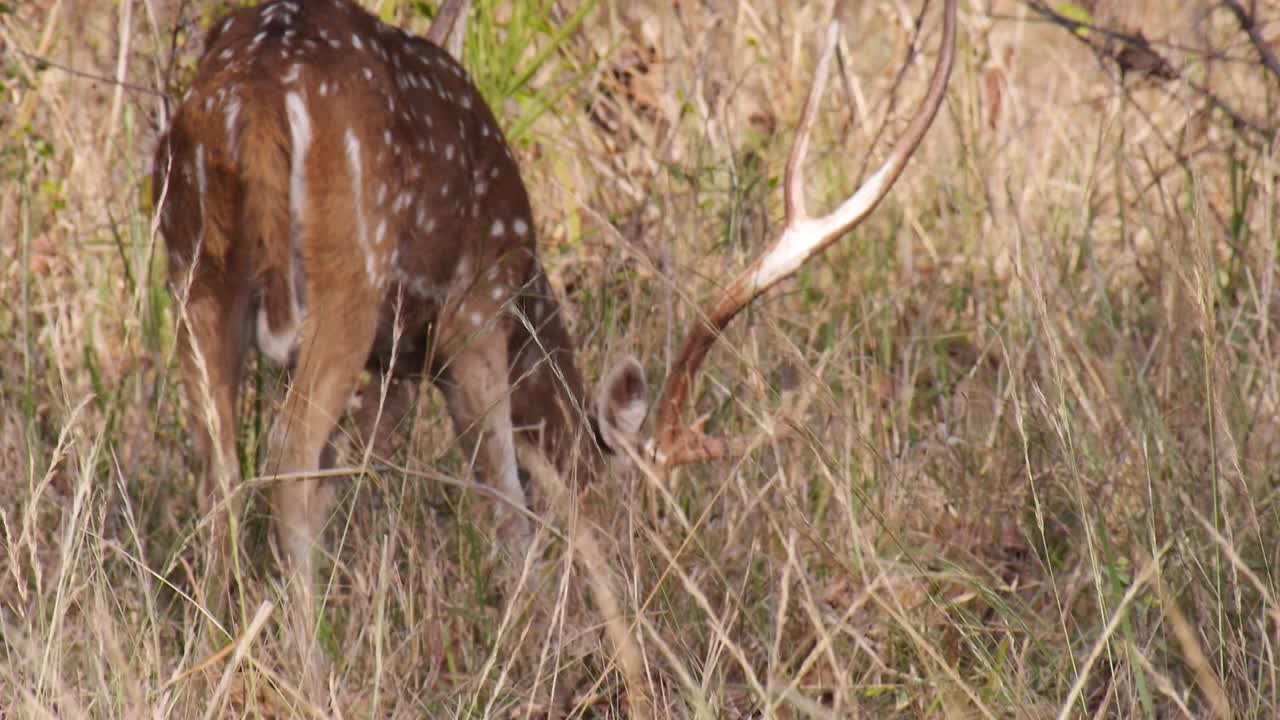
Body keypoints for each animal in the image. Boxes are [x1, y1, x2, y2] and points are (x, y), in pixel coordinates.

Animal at [152, 0, 952, 627]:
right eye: (634, 510)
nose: (642, 581)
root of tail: (254, 93)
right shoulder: (476, 309)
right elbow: (506, 492)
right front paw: (535, 619)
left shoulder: (402, 361)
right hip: (349, 269)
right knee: (284, 462)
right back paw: (309, 658)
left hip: (192, 266)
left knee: (220, 465)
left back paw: (221, 628)